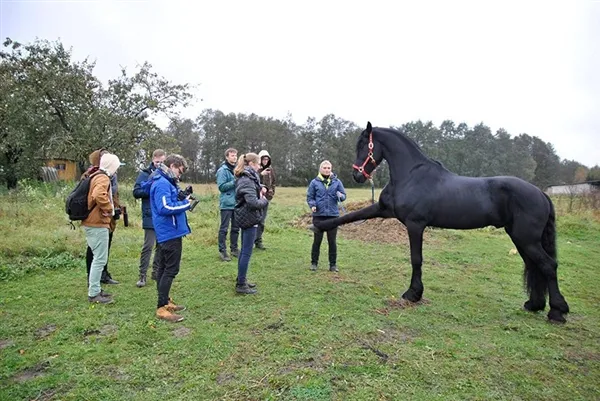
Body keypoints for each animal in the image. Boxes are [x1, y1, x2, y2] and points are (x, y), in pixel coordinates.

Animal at [314, 121, 572, 322]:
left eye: (363, 145)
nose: (357, 175)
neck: (411, 175)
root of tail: (541, 194)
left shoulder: (415, 225)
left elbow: (416, 259)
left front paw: (413, 294)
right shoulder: (383, 210)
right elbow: (350, 216)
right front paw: (320, 225)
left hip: (526, 239)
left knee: (548, 265)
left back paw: (557, 312)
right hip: (521, 239)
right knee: (534, 266)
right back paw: (534, 304)